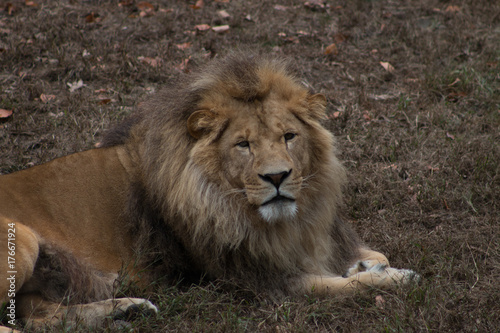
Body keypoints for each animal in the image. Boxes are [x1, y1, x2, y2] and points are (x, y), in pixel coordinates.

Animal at [0, 54, 418, 330]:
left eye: (289, 136)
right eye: (243, 145)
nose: (278, 177)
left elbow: (370, 256)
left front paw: (367, 264)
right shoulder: (256, 281)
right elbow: (343, 287)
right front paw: (392, 278)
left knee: (37, 316)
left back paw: (128, 309)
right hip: (23, 240)